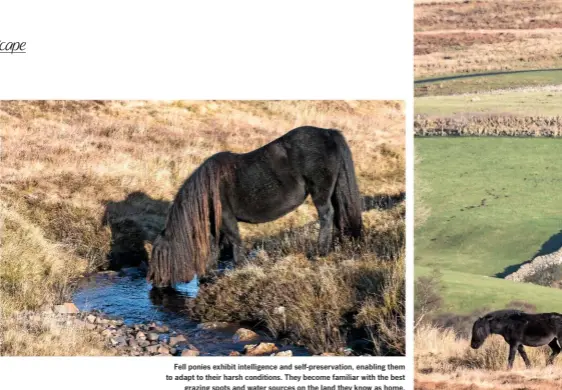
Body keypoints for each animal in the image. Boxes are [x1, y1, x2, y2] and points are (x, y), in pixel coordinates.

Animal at [147, 126, 360, 288]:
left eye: (160, 256)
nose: (153, 282)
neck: (208, 190)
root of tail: (328, 132)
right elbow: (215, 246)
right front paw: (208, 275)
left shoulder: (226, 218)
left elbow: (235, 241)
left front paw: (239, 268)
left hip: (320, 193)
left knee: (326, 216)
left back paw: (319, 252)